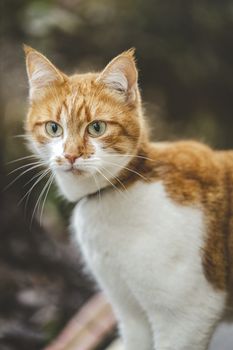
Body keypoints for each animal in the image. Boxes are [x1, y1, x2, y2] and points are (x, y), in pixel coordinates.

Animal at [24, 45, 233, 348]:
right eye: (54, 128)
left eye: (96, 128)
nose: (71, 155)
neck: (121, 188)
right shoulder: (129, 313)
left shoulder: (185, 319)